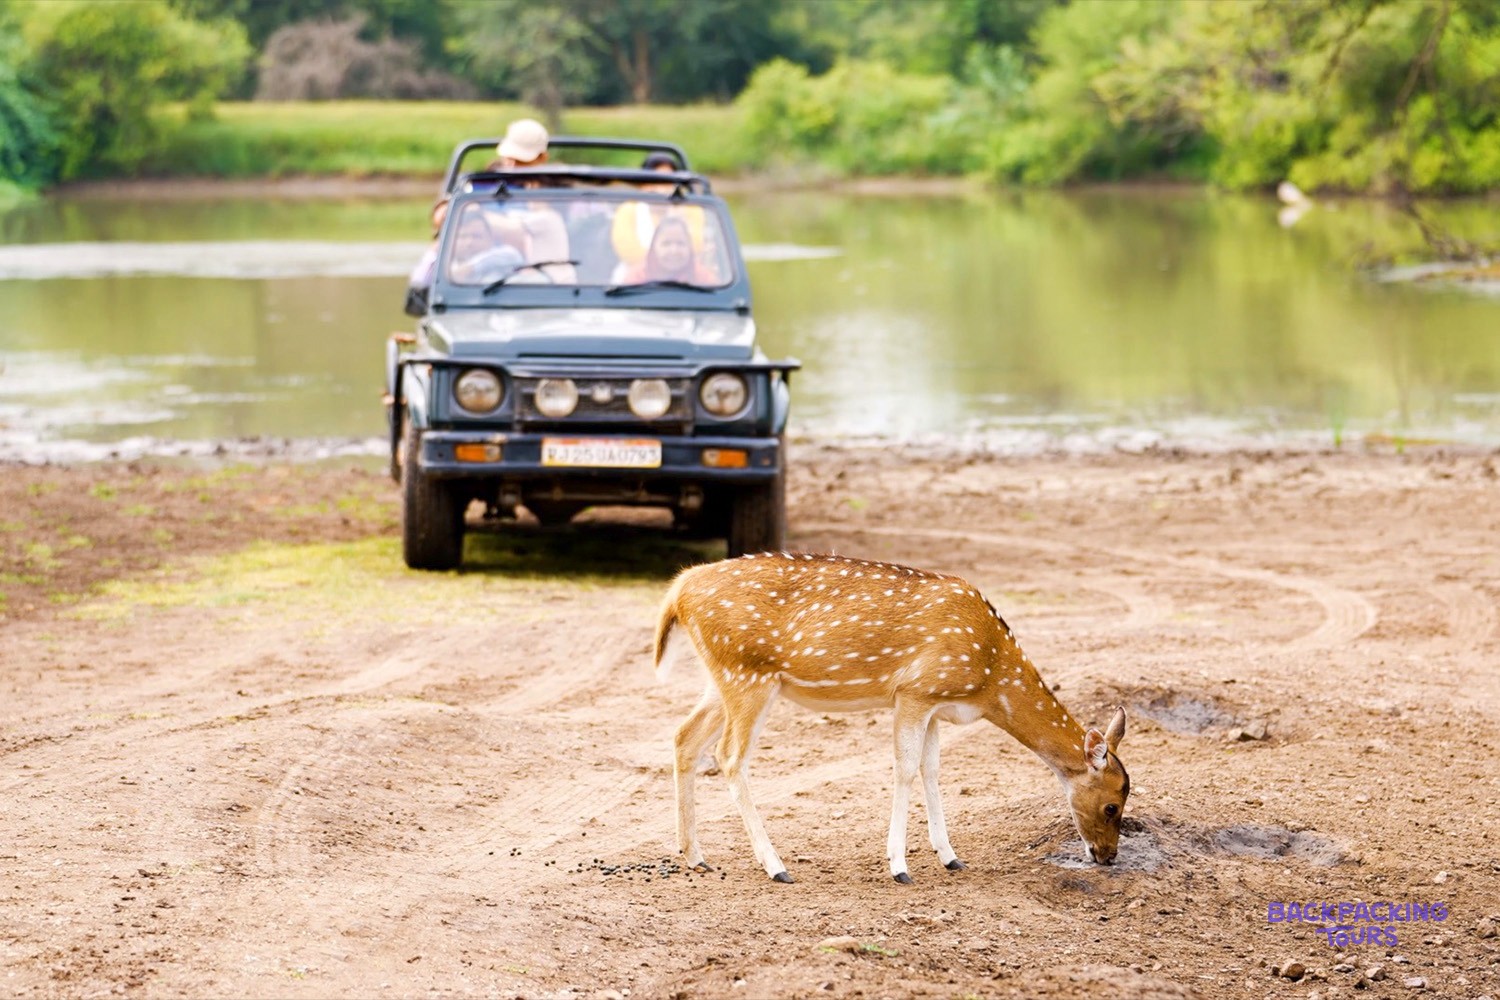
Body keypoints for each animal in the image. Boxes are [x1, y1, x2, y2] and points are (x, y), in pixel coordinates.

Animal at [653, 551, 1129, 883]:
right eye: (1112, 805)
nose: (1108, 856)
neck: (989, 678)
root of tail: (677, 591)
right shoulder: (915, 691)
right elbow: (904, 769)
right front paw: (899, 866)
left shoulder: (936, 706)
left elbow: (932, 770)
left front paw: (950, 857)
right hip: (747, 674)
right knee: (729, 756)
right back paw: (775, 865)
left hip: (720, 679)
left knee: (683, 737)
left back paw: (694, 856)